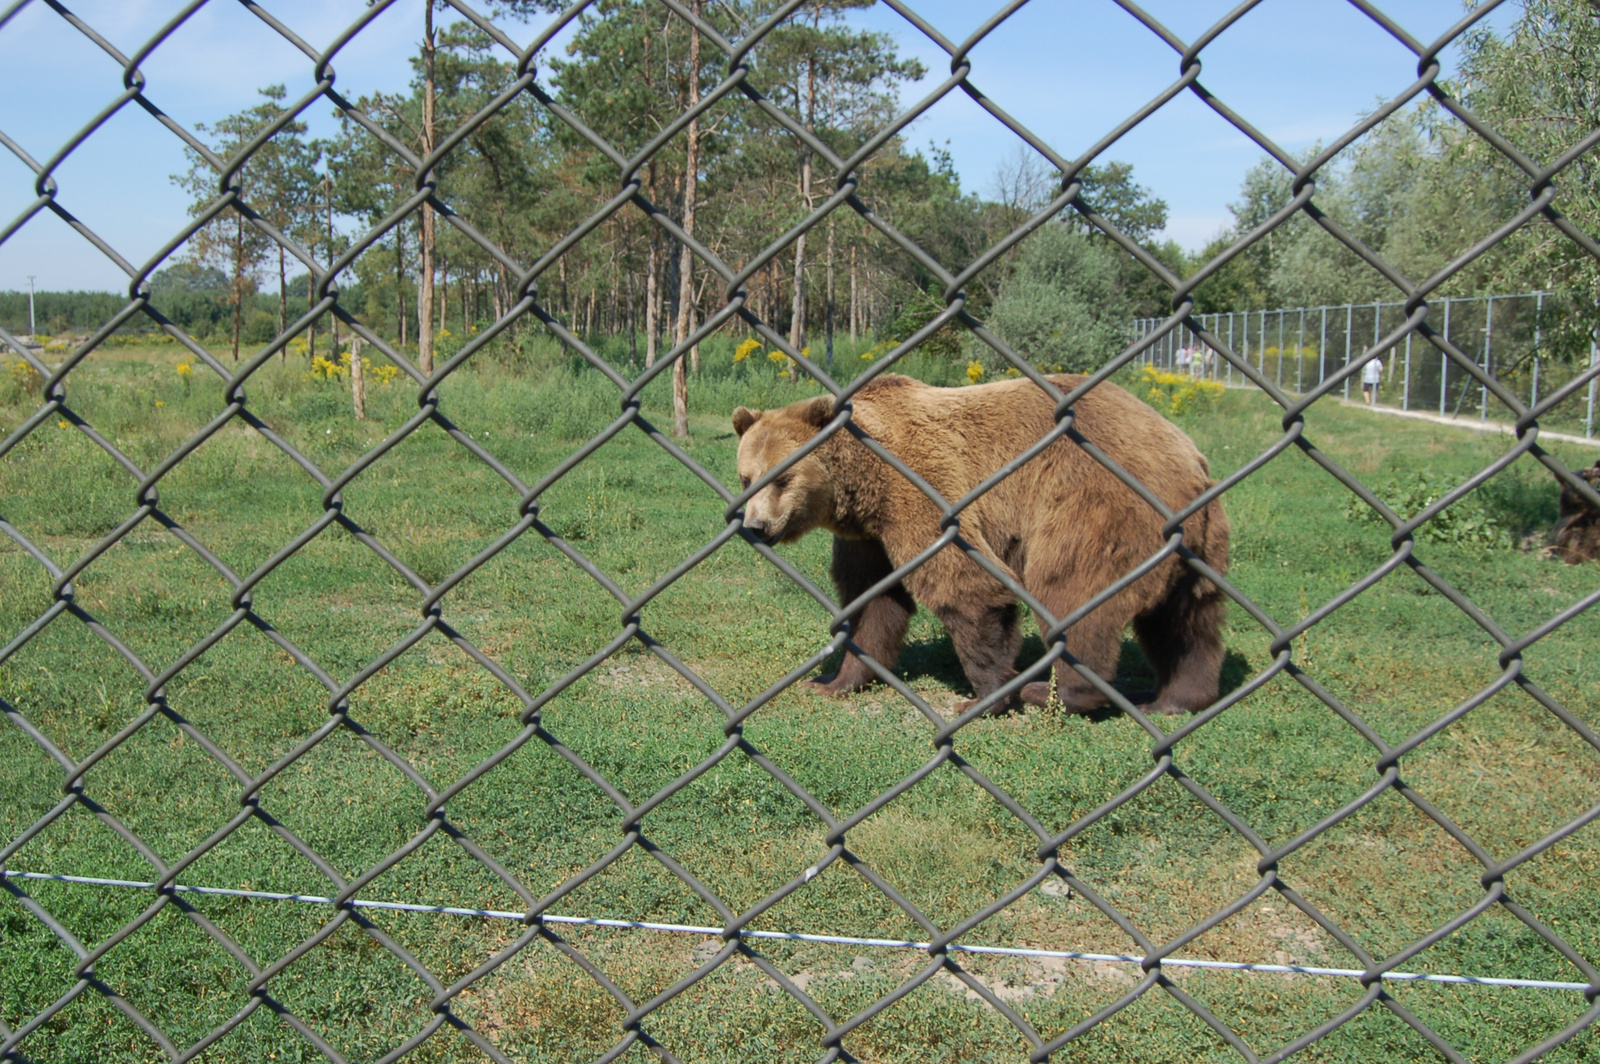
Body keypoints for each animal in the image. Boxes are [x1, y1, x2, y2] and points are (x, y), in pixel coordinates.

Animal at [732, 371, 1228, 713]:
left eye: (783, 478)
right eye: (746, 478)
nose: (755, 526)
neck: (862, 489)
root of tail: (1188, 456)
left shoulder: (924, 489)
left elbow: (966, 585)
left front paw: (985, 696)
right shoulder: (870, 535)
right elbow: (872, 600)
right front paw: (833, 680)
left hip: (1097, 500)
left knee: (1073, 591)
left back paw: (1054, 692)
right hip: (1195, 541)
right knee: (1187, 620)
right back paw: (1175, 697)